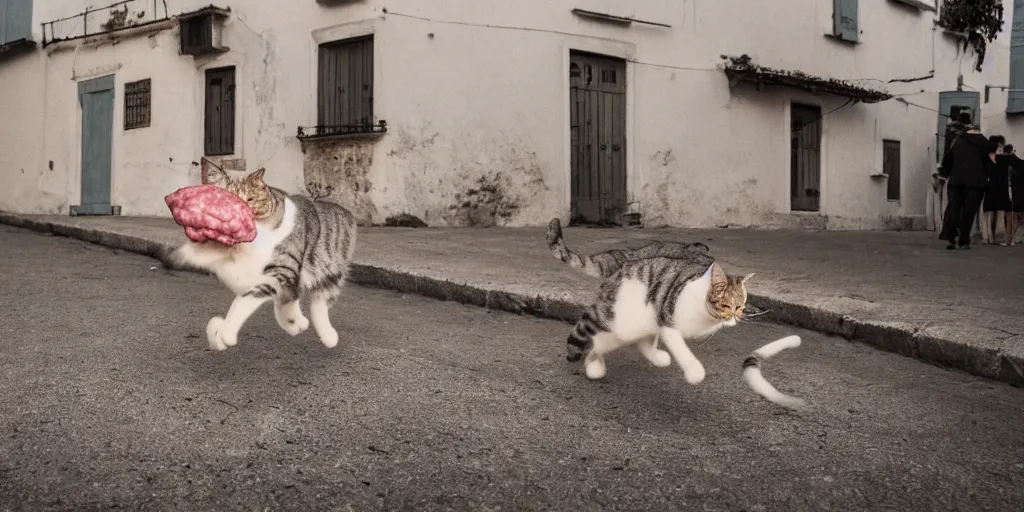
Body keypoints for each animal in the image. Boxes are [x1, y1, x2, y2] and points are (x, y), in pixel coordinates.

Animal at [161, 158, 358, 352]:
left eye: (250, 199)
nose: (238, 216)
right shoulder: (238, 273)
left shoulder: (280, 271)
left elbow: (244, 301)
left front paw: (226, 333)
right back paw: (295, 321)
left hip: (329, 272)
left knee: (319, 302)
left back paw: (327, 336)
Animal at [569, 253, 753, 382]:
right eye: (727, 305)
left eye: (741, 306)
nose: (736, 317)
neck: (706, 315)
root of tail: (613, 277)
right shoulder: (668, 319)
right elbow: (681, 348)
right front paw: (695, 371)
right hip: (624, 321)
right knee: (599, 340)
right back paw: (593, 364)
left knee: (641, 342)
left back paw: (658, 358)